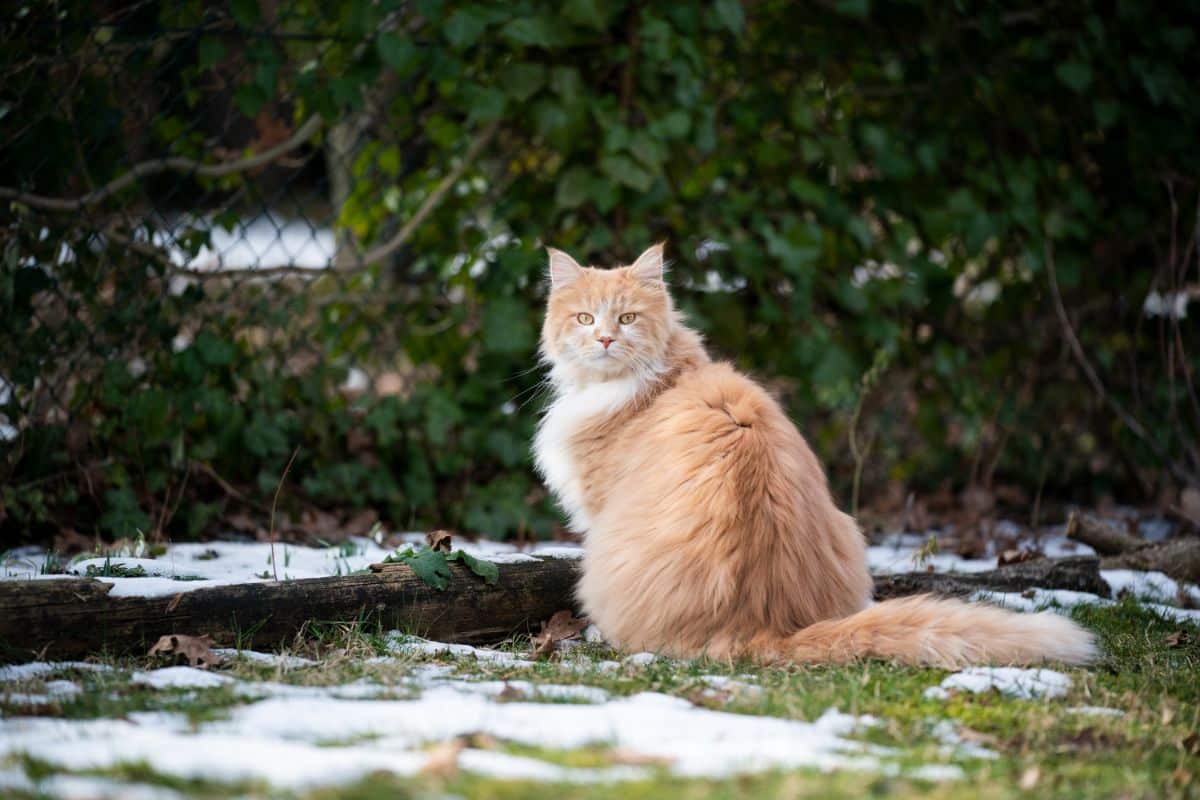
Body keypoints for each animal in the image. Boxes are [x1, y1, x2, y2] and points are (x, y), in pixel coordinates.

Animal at [535, 244, 1099, 671]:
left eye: (627, 318)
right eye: (585, 318)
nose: (605, 338)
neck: (652, 381)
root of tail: (761, 624)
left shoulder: (598, 509)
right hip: (850, 530)